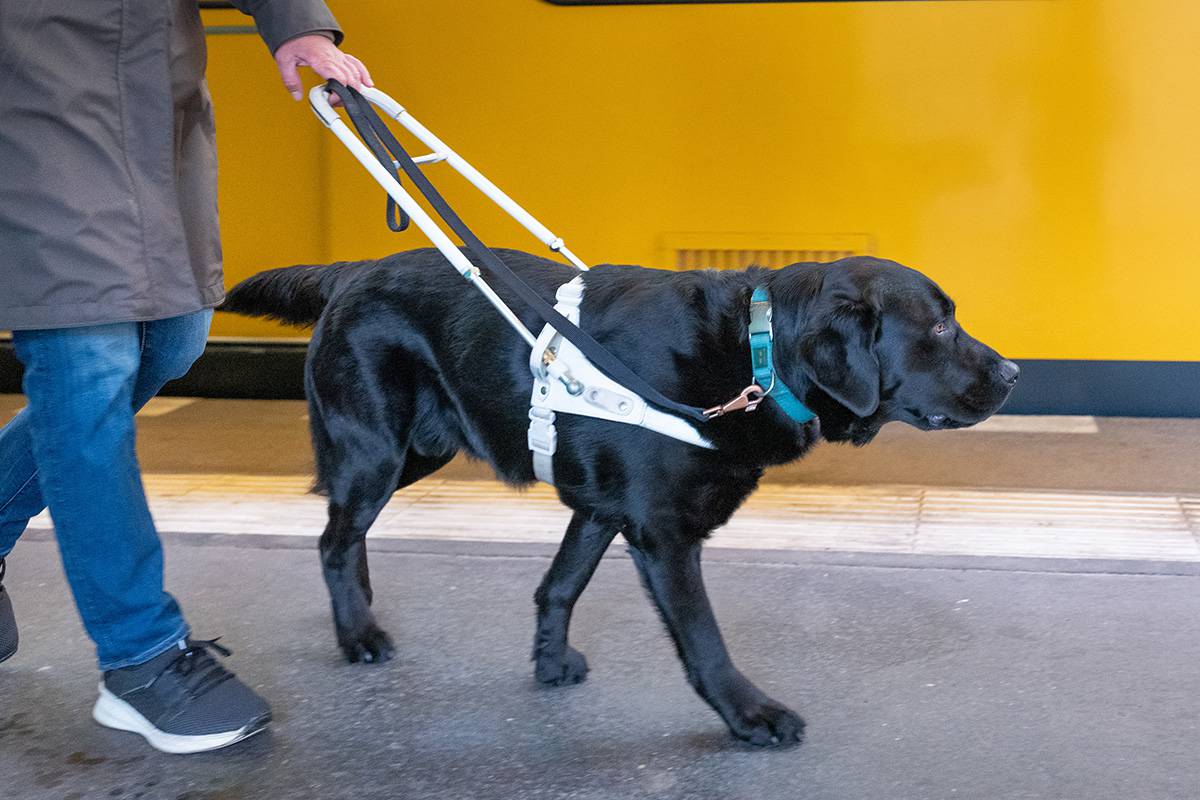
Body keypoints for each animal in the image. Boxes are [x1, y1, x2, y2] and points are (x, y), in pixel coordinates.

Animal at [220, 247, 1017, 748]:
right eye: (939, 325)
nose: (1013, 373)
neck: (755, 355)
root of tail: (351, 270)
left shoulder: (604, 508)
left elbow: (559, 586)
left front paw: (549, 663)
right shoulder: (663, 533)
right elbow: (703, 640)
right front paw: (750, 716)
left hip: (418, 450)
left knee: (345, 533)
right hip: (378, 450)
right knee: (334, 536)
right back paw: (357, 633)